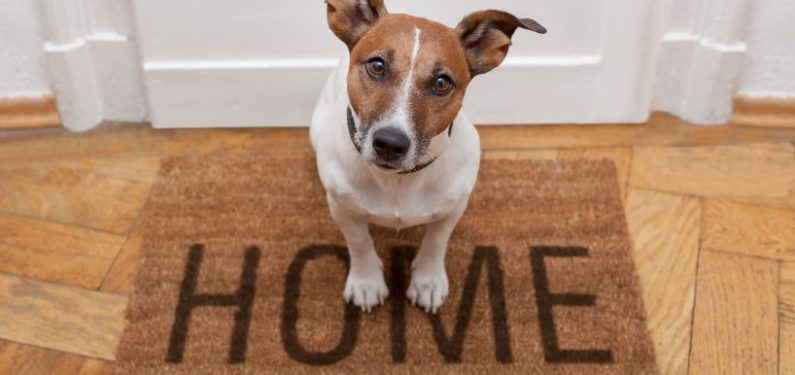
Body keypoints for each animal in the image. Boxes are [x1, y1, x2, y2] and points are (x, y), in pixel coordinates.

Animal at [310, 0, 548, 314]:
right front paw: (366, 281)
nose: (390, 143)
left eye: (442, 82)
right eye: (377, 66)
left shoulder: (453, 208)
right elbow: (359, 242)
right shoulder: (341, 207)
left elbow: (436, 243)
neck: (398, 181)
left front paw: (428, 281)